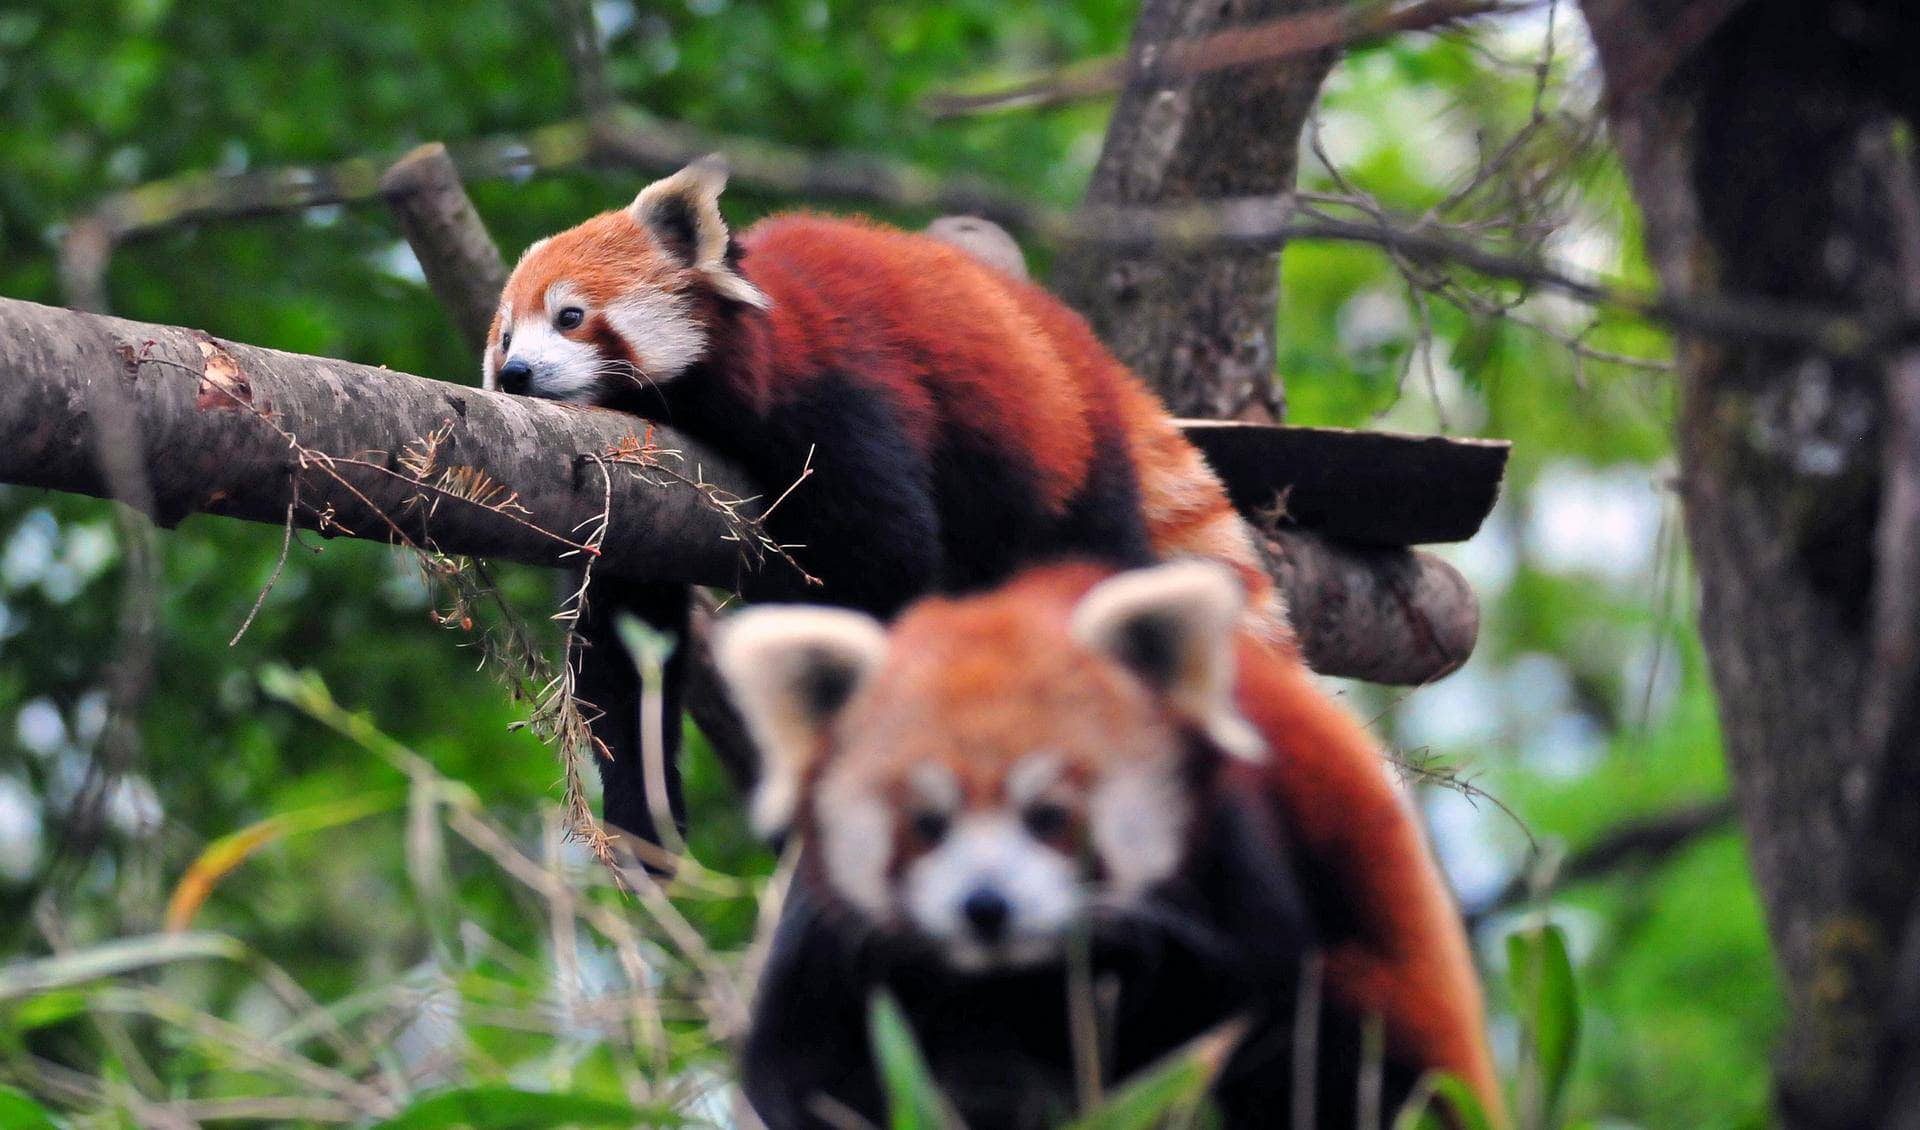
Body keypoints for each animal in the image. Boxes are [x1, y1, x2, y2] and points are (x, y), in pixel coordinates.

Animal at [483, 154, 1290, 851]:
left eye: (570, 316)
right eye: (505, 336)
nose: (516, 373)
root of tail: (1082, 345)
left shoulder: (842, 395)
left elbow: (882, 560)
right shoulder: (649, 496)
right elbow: (627, 636)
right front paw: (642, 816)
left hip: (1065, 460)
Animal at [718, 560, 1497, 1120]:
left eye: (1050, 815)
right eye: (927, 823)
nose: (986, 905)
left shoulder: (1237, 851)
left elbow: (1253, 1012)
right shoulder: (830, 947)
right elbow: (802, 1071)